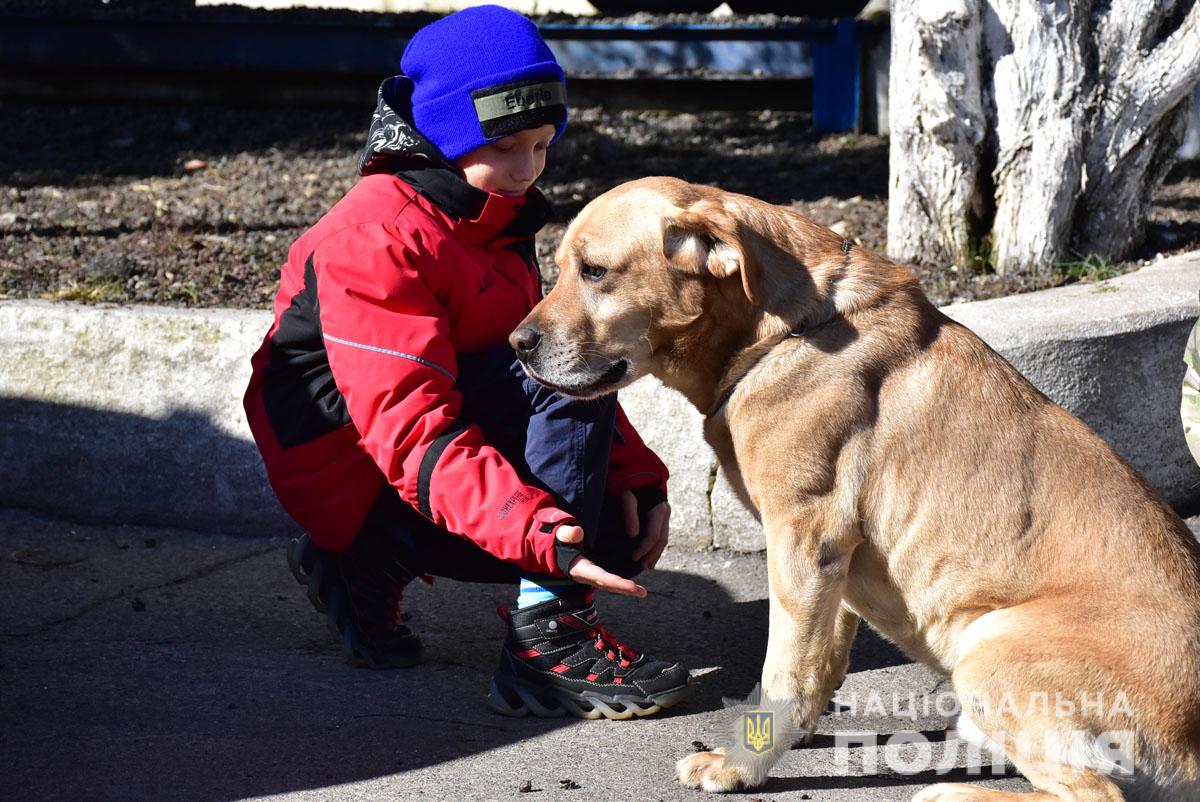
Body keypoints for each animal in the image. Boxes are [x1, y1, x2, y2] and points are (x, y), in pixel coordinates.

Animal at [511, 178, 1200, 797]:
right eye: (560, 265)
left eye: (595, 271)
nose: (516, 345)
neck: (781, 331)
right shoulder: (834, 561)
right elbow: (817, 662)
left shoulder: (804, 539)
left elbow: (785, 672)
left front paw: (742, 765)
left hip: (989, 649)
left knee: (1094, 794)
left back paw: (948, 792)